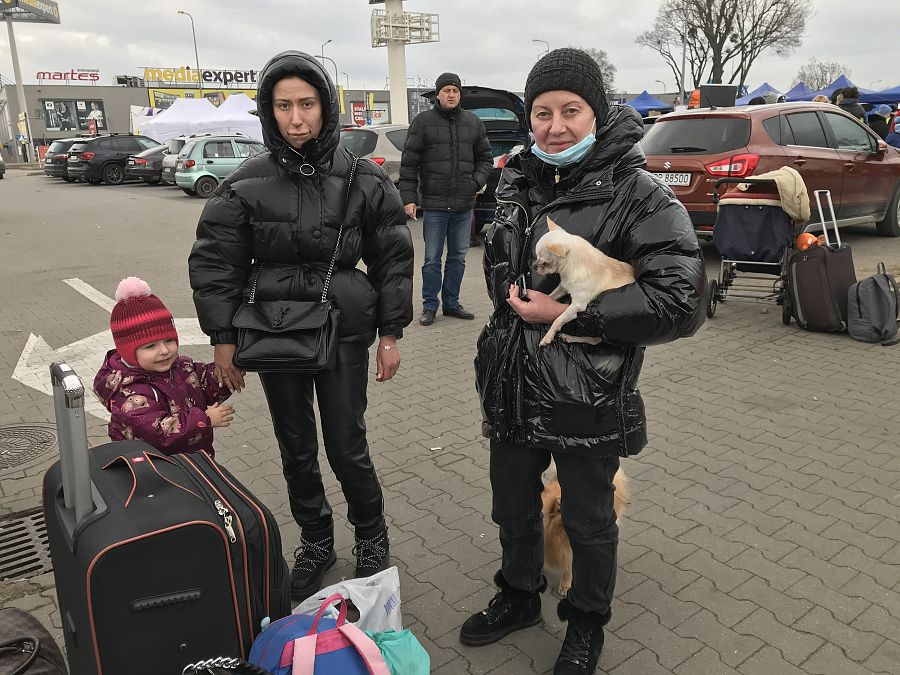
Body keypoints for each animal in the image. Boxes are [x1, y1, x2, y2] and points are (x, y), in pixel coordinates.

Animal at [532, 218, 636, 348]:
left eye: (545, 263)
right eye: (537, 258)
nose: (533, 266)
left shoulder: (577, 305)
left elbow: (558, 320)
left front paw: (548, 336)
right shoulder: (564, 286)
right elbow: (551, 296)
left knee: (592, 340)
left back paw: (570, 337)